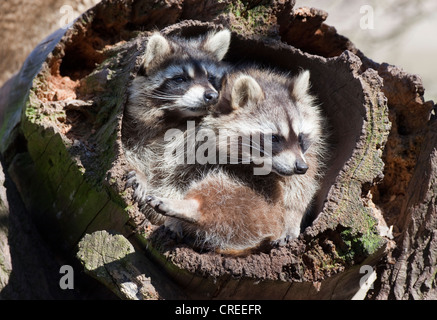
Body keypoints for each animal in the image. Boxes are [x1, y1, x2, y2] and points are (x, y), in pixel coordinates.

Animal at [145, 67, 326, 255]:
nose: (301, 167)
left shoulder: (308, 154)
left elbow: (299, 187)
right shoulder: (188, 134)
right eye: (274, 138)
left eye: (300, 137)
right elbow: (172, 174)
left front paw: (293, 217)